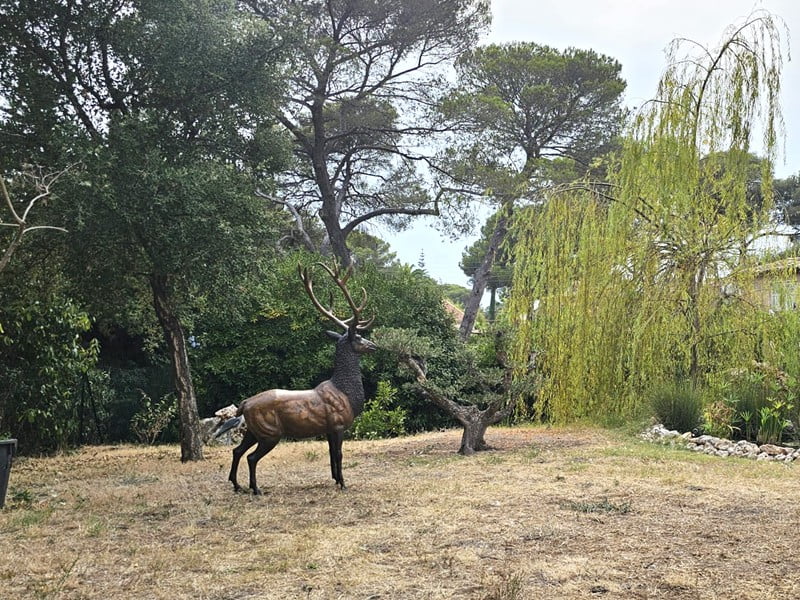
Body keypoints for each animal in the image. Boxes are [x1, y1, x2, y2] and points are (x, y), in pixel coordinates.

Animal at [214, 261, 376, 495]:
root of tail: (244, 405)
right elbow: (338, 454)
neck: (347, 395)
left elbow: (330, 455)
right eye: (360, 337)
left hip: (253, 431)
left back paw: (237, 485)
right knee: (252, 457)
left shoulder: (328, 429)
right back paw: (256, 488)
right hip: (270, 433)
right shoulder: (337, 425)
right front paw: (344, 484)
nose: (374, 346)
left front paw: (335, 479)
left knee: (237, 451)